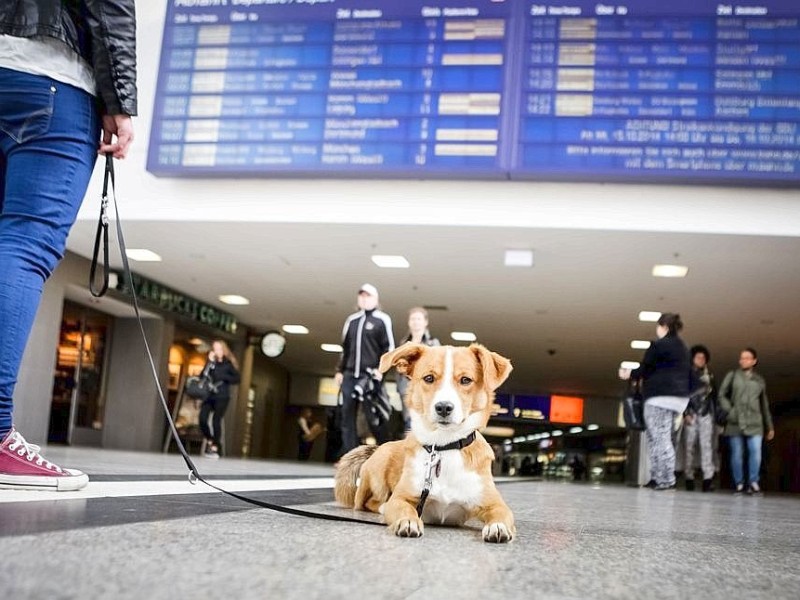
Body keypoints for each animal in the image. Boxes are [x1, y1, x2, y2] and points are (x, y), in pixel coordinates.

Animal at [334, 342, 516, 544]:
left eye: (466, 380)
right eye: (429, 378)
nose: (443, 407)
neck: (444, 446)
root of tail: (378, 448)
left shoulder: (495, 504)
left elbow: (500, 514)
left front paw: (497, 527)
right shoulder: (401, 498)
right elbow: (403, 508)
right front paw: (408, 521)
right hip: (378, 473)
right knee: (368, 502)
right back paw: (381, 506)